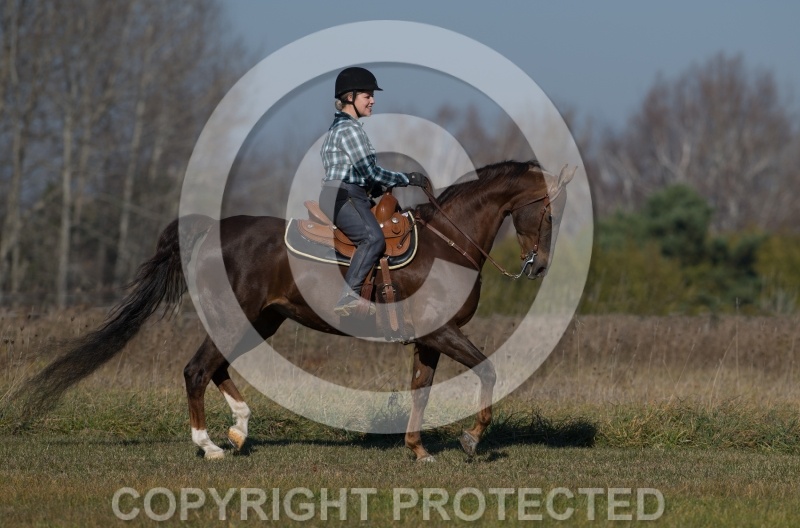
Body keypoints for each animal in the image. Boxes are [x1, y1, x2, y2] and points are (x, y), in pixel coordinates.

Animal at [13, 159, 575, 462]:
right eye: (549, 211)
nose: (542, 266)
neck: (446, 245)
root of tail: (210, 231)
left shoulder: (429, 340)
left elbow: (421, 390)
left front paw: (419, 449)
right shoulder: (442, 334)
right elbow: (488, 371)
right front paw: (471, 440)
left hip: (260, 320)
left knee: (216, 367)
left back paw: (239, 429)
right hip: (234, 318)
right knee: (196, 369)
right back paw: (209, 445)